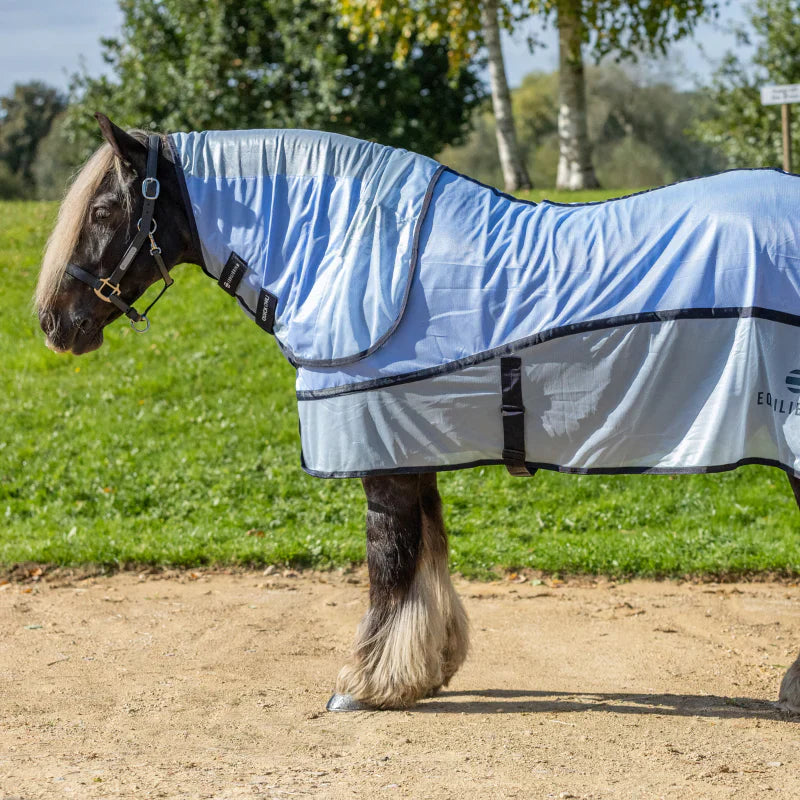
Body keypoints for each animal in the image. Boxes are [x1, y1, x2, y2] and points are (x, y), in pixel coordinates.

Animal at [35, 113, 800, 713]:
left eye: (102, 212)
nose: (53, 323)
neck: (348, 251)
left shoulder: (382, 455)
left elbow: (389, 560)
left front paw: (363, 684)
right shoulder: (408, 442)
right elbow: (426, 554)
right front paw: (422, 671)